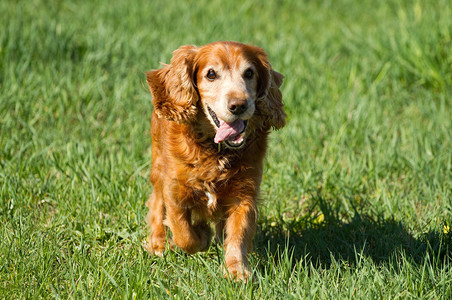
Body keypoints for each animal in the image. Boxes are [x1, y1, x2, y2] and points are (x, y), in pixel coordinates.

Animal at [146, 41, 286, 280]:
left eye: (249, 73)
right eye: (211, 74)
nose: (239, 105)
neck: (216, 150)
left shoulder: (245, 194)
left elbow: (238, 233)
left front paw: (236, 270)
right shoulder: (175, 190)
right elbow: (184, 234)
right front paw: (201, 235)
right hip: (158, 165)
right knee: (156, 201)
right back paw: (158, 243)